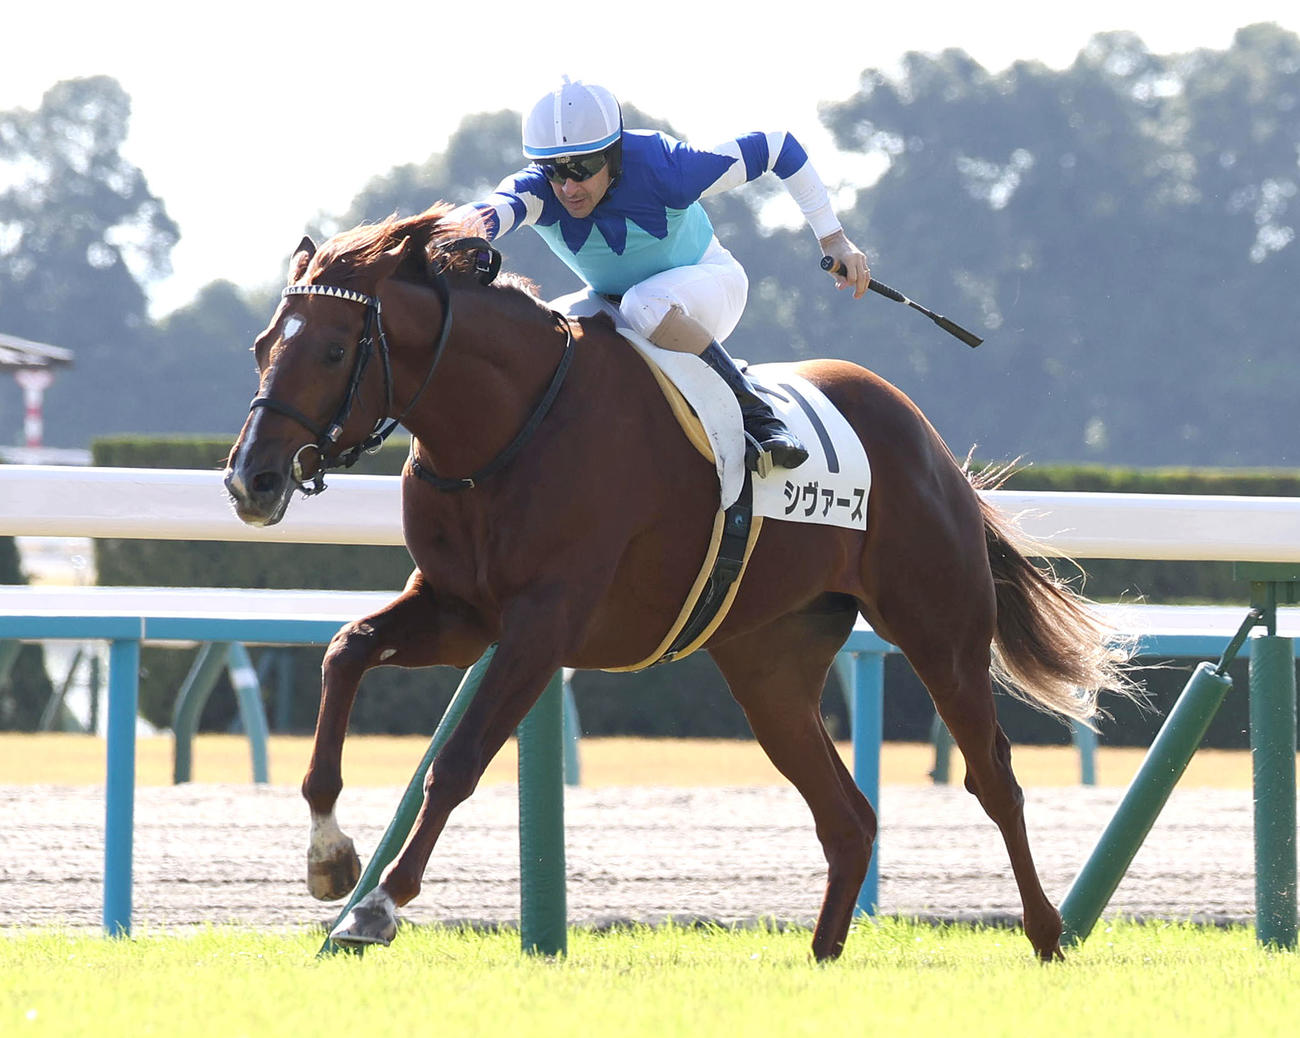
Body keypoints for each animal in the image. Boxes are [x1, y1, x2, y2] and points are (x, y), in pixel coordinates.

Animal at [224, 203, 1130, 962]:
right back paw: (822, 957)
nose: (250, 480)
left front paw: (379, 905)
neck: (507, 427)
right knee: (848, 817)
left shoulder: (542, 624)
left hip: (940, 631)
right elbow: (346, 652)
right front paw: (330, 860)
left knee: (993, 778)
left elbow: (458, 760)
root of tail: (931, 443)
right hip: (770, 666)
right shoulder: (457, 612)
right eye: (263, 347)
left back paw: (1049, 934)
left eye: (333, 350)